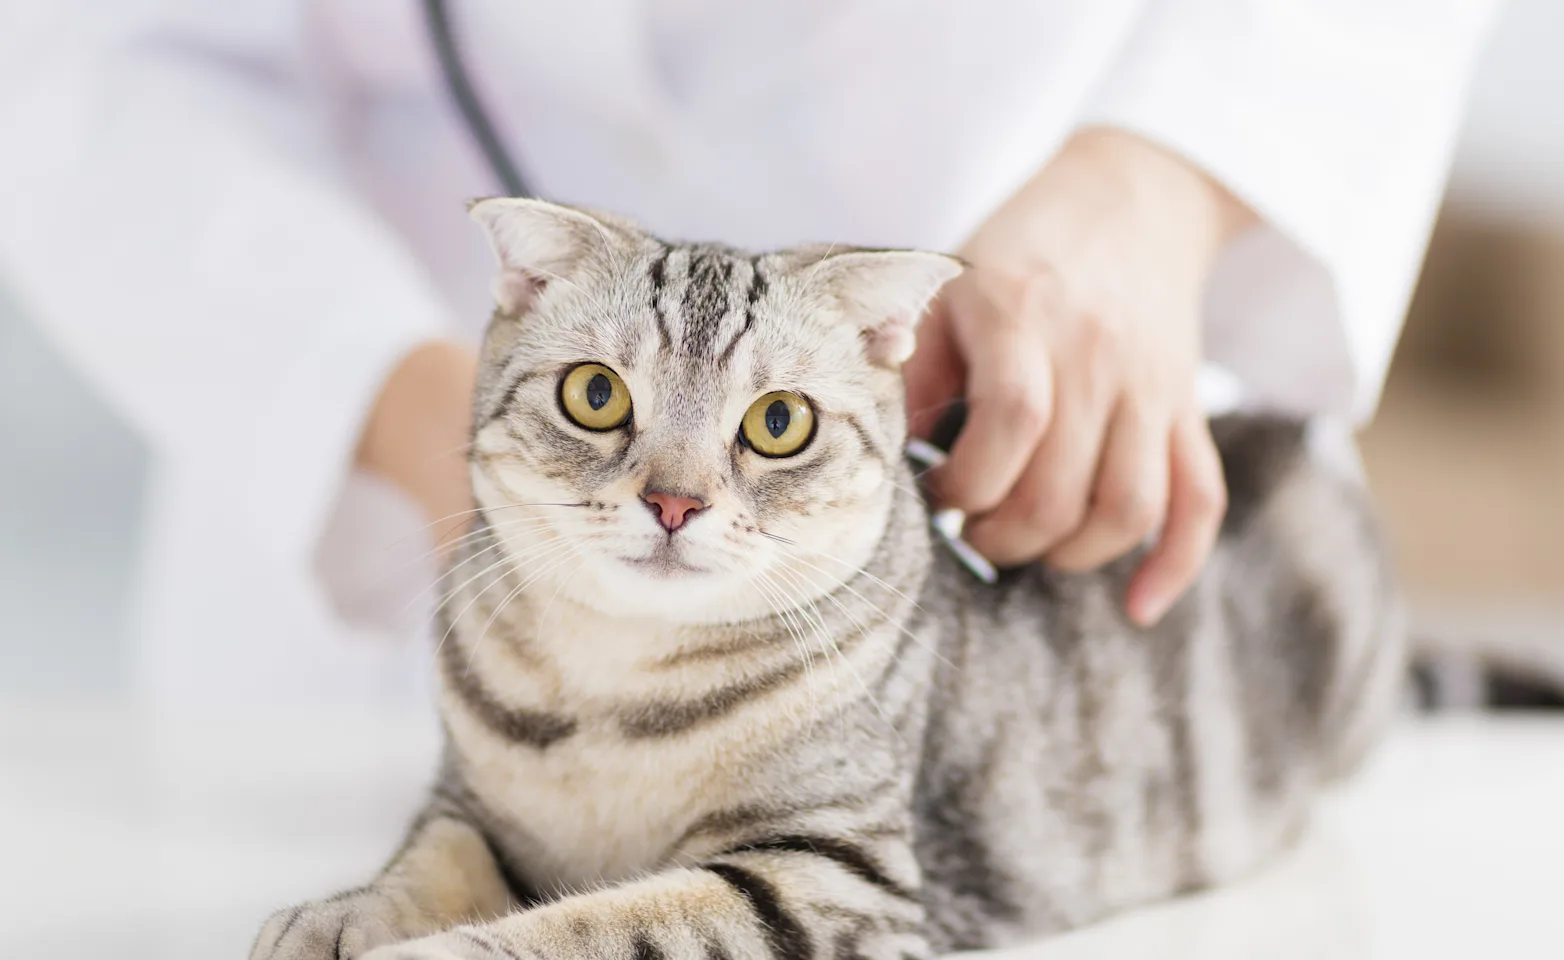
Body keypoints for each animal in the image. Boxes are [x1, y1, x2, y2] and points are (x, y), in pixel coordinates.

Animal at [247, 199, 1407, 960]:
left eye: (777, 422)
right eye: (595, 395)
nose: (674, 502)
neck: (610, 696)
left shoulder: (828, 877)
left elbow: (606, 923)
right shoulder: (469, 808)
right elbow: (422, 865)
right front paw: (339, 915)